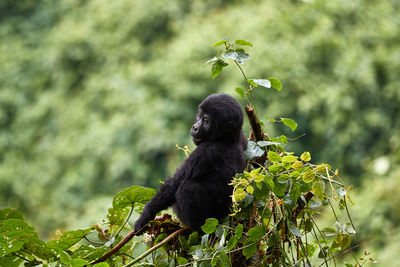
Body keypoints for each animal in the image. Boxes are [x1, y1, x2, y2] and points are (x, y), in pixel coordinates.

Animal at [135, 94, 247, 232]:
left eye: (206, 121)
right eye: (199, 116)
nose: (195, 127)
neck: (226, 137)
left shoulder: (206, 151)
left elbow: (173, 185)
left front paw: (145, 216)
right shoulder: (242, 137)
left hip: (212, 219)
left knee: (186, 187)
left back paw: (196, 226)